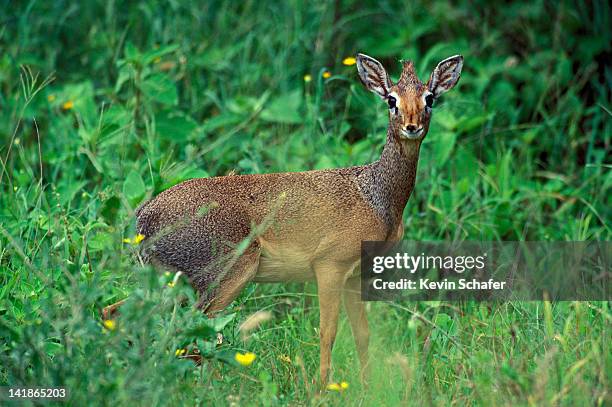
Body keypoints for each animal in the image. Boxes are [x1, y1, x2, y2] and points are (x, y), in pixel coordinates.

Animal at [131, 52, 462, 384]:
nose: (411, 126)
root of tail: (143, 220)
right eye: (391, 99)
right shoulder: (330, 264)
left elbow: (362, 334)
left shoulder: (356, 274)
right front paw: (322, 387)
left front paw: (367, 386)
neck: (377, 198)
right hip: (223, 274)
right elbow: (328, 332)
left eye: (429, 98)